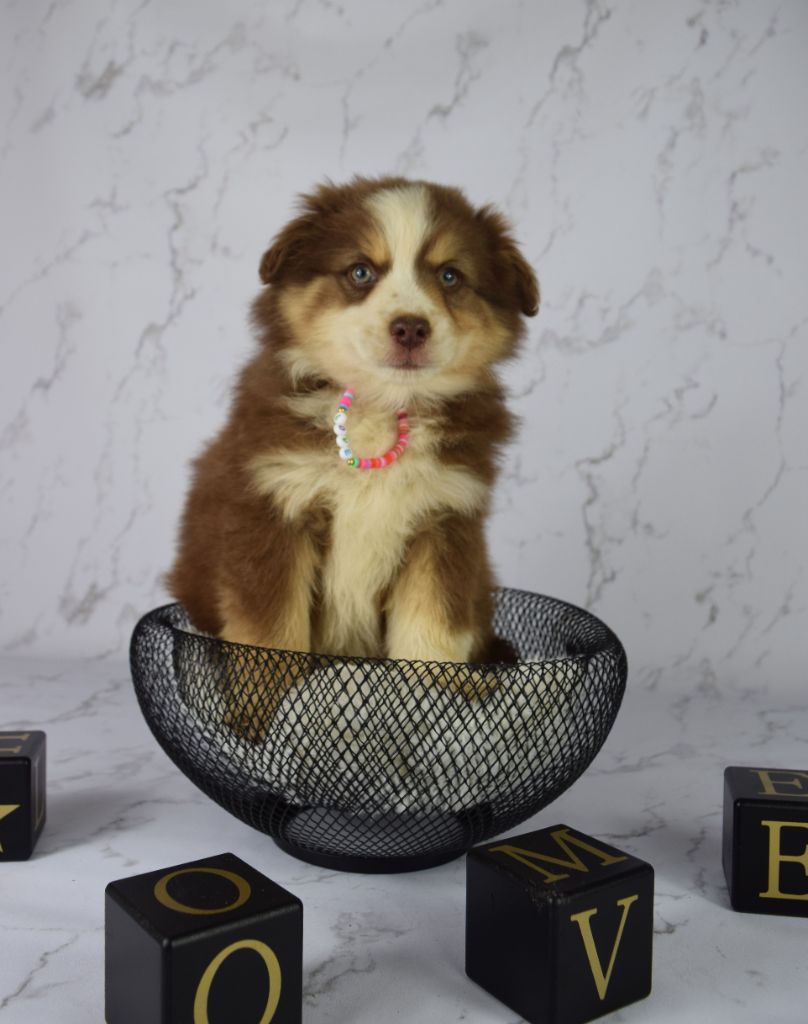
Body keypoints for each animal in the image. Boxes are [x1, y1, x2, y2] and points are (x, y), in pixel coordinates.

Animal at [168, 176, 538, 734]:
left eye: (450, 275)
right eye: (361, 271)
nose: (410, 328)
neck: (380, 409)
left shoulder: (445, 520)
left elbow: (431, 627)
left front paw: (442, 705)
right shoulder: (272, 508)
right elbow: (270, 634)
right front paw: (262, 719)